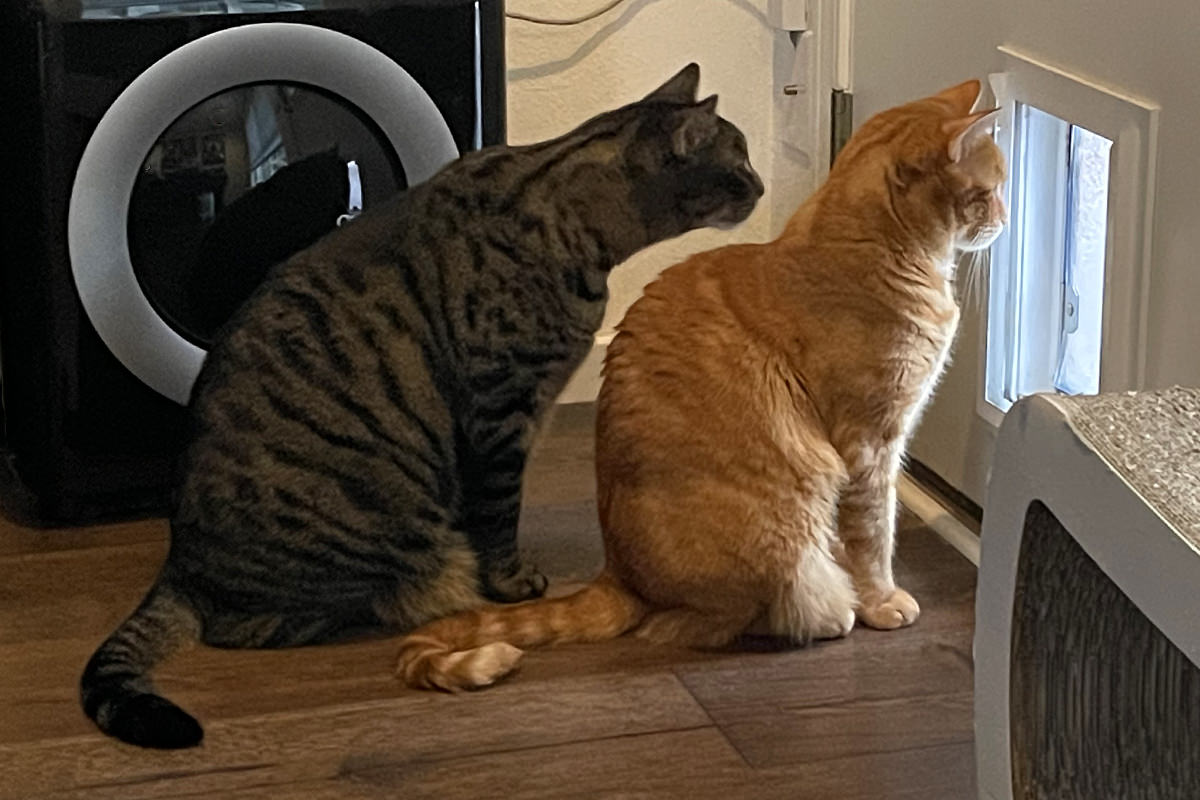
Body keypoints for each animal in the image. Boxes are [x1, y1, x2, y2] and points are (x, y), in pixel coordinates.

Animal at [82, 64, 758, 753]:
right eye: (739, 163)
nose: (761, 186)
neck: (572, 222)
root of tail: (178, 566)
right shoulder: (502, 408)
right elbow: (499, 513)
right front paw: (510, 582)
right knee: (257, 625)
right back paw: (429, 593)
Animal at [398, 82, 1008, 695]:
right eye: (987, 194)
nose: (1005, 221)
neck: (865, 247)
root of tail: (618, 574)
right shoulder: (871, 442)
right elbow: (875, 532)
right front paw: (881, 599)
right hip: (783, 531)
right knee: (712, 622)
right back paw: (833, 611)